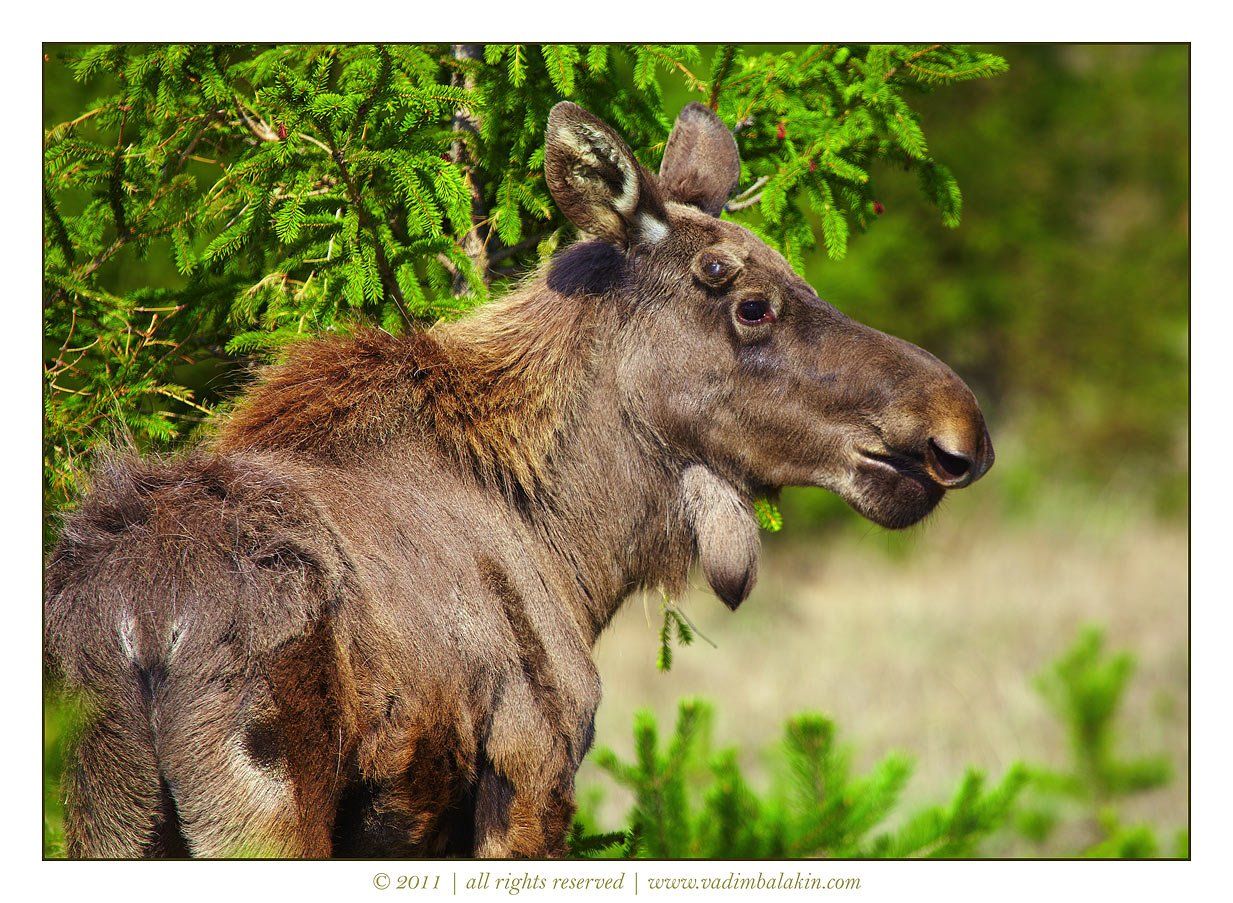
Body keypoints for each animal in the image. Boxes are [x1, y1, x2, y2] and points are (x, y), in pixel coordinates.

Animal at [43, 102, 996, 858]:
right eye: (750, 303)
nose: (958, 432)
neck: (577, 548)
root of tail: (144, 624)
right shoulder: (533, 773)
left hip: (110, 815)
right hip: (260, 809)